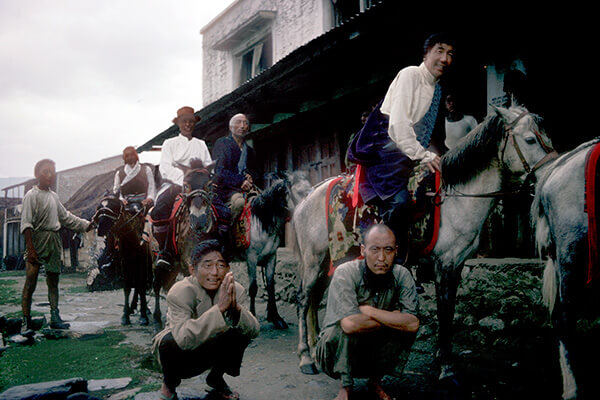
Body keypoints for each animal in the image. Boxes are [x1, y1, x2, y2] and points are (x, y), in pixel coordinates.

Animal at [292, 104, 556, 380]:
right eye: (530, 139)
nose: (550, 172)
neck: (455, 198)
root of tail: (306, 197)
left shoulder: (457, 265)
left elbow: (448, 311)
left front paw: (442, 359)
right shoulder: (445, 265)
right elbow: (445, 311)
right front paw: (446, 366)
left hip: (327, 261)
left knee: (313, 300)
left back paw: (315, 349)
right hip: (313, 260)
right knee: (303, 298)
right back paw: (305, 358)